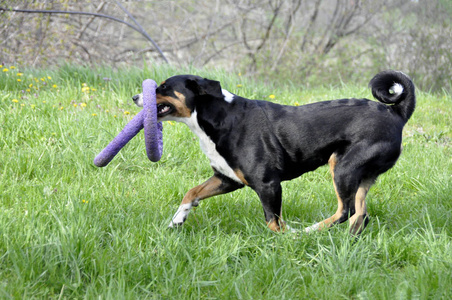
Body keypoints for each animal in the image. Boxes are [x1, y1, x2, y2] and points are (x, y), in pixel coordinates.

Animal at [132, 69, 414, 234]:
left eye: (163, 87)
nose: (135, 97)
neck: (220, 118)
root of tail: (396, 112)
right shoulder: (227, 178)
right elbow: (191, 193)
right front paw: (177, 220)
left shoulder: (268, 184)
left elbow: (273, 221)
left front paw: (281, 241)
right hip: (361, 177)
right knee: (360, 214)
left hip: (343, 169)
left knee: (345, 212)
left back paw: (308, 232)